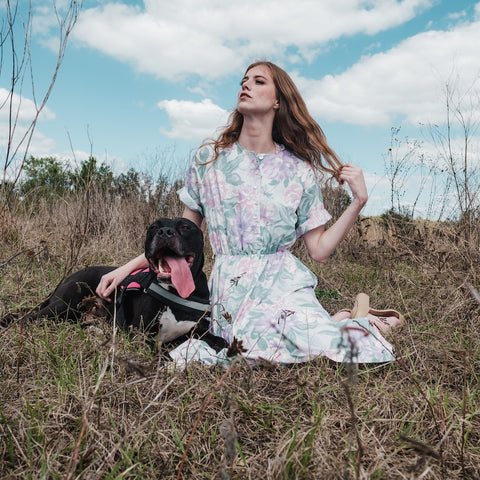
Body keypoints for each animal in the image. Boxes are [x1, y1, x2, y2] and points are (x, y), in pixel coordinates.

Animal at [33, 218, 229, 352]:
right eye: (153, 227)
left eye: (186, 227)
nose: (165, 231)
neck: (177, 293)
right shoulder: (140, 335)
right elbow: (160, 354)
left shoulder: (197, 329)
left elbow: (220, 341)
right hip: (63, 305)